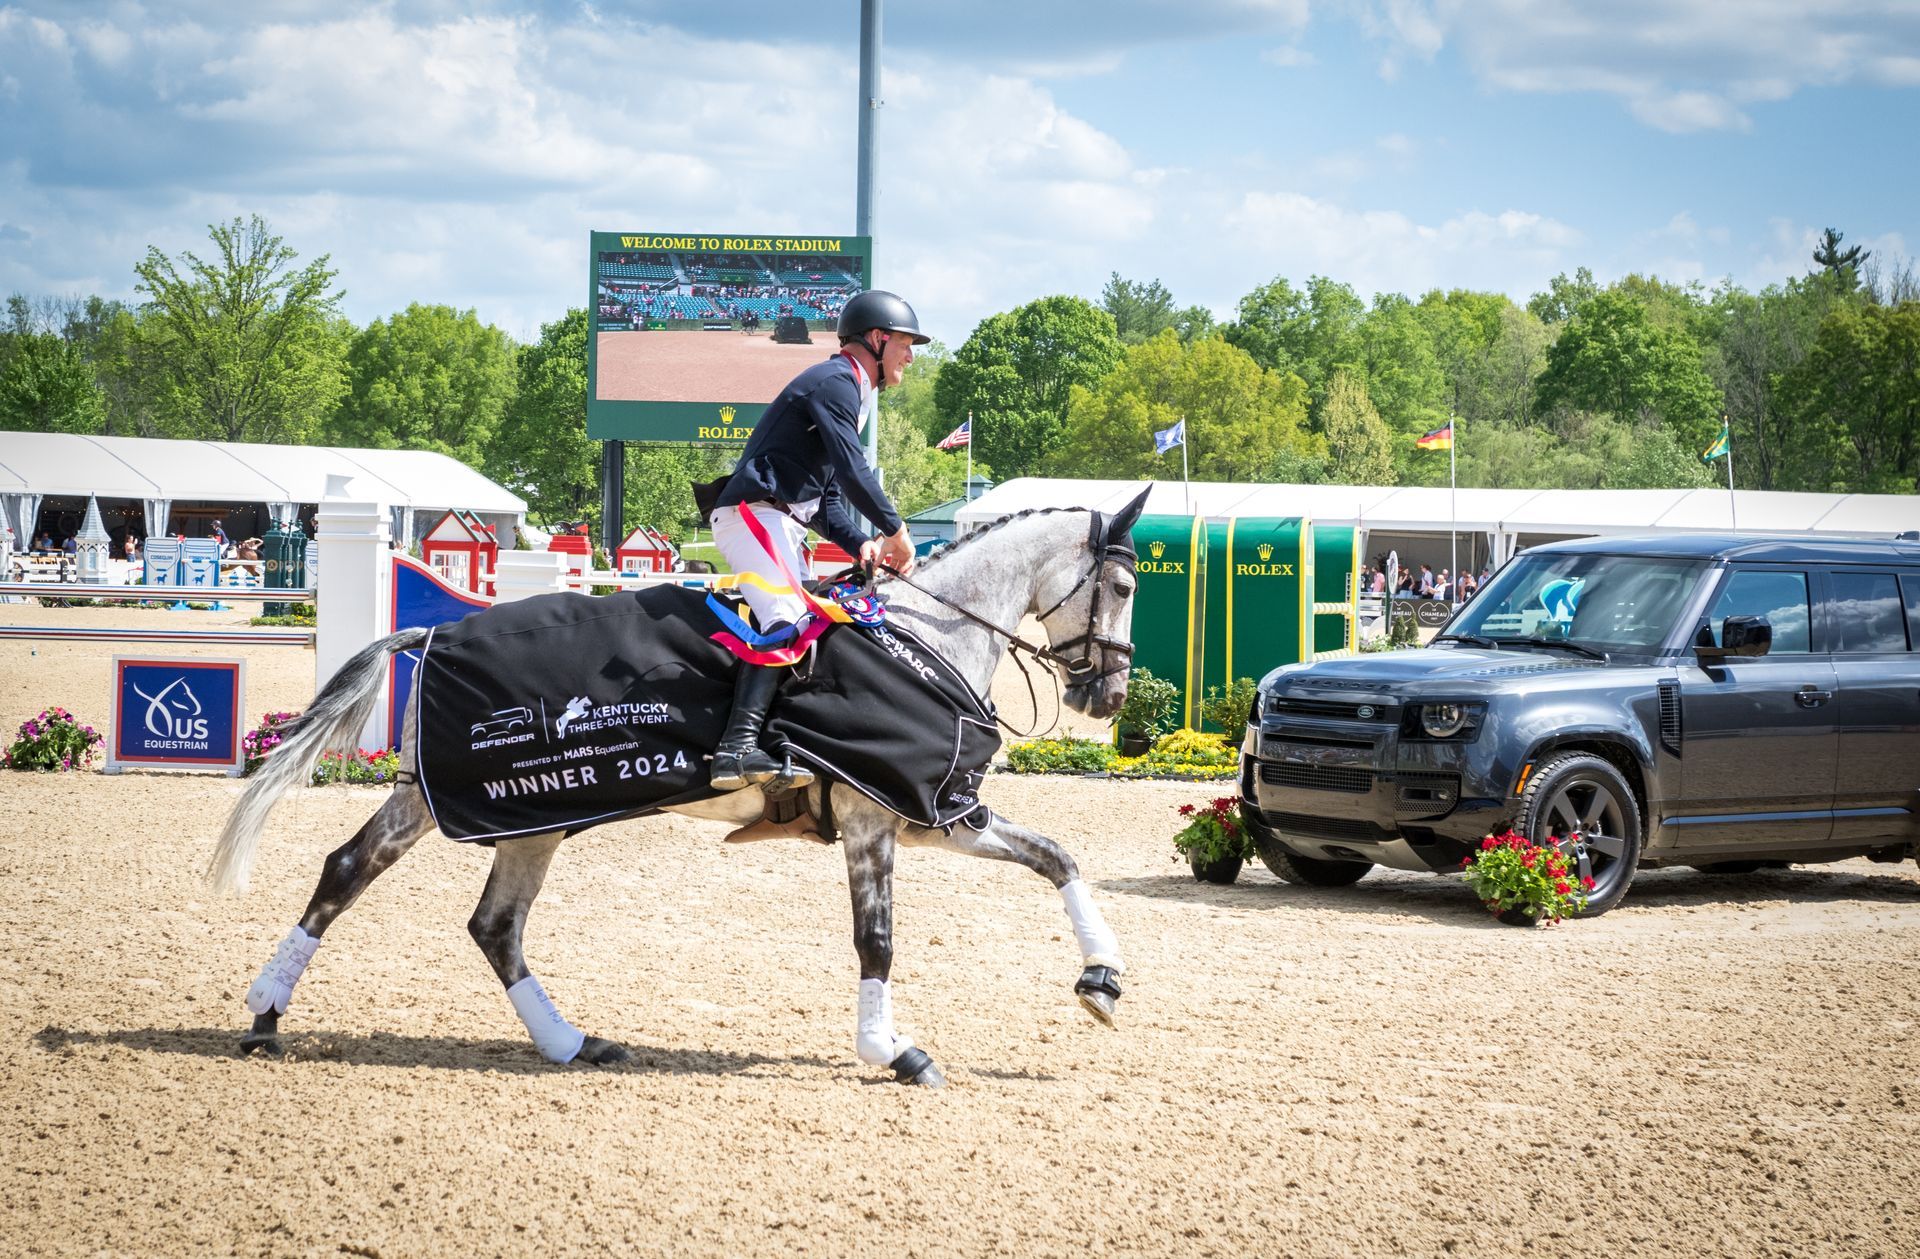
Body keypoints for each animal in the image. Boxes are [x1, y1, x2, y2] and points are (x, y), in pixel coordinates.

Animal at [210, 495, 1136, 1090]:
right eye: (1125, 588)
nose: (1111, 697)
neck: (924, 640)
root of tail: (432, 630)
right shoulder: (876, 818)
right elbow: (876, 941)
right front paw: (893, 1051)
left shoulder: (936, 815)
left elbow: (1059, 857)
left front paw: (1102, 980)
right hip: (470, 802)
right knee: (355, 872)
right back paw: (264, 1012)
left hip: (521, 816)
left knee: (487, 922)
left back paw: (571, 1042)